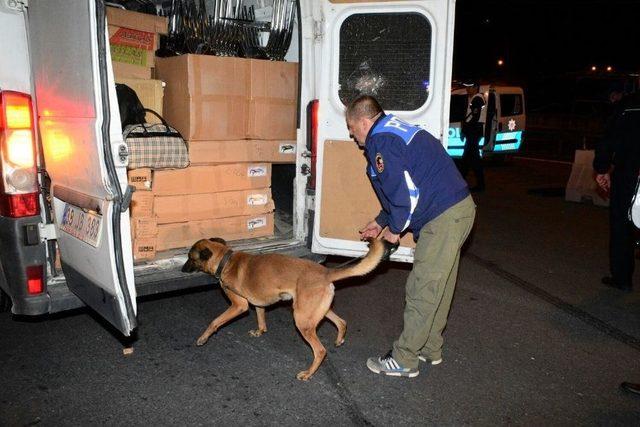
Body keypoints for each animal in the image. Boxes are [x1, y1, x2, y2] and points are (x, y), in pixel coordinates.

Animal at [180, 237, 390, 382]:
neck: (225, 260)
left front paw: (203, 338)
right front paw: (260, 331)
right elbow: (261, 317)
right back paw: (339, 340)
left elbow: (214, 321)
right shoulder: (258, 303)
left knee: (320, 350)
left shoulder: (239, 305)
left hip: (302, 320)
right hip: (314, 311)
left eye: (190, 258)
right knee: (341, 322)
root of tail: (326, 272)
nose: (182, 270)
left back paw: (308, 373)